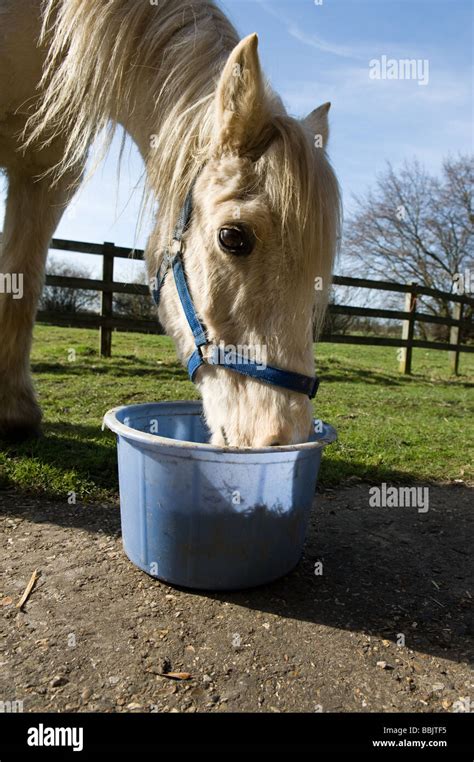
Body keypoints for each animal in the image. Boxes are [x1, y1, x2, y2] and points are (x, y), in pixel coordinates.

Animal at [0, 1, 340, 446]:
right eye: (232, 237)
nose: (284, 436)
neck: (46, 26)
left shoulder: (46, 166)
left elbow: (21, 279)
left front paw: (13, 411)